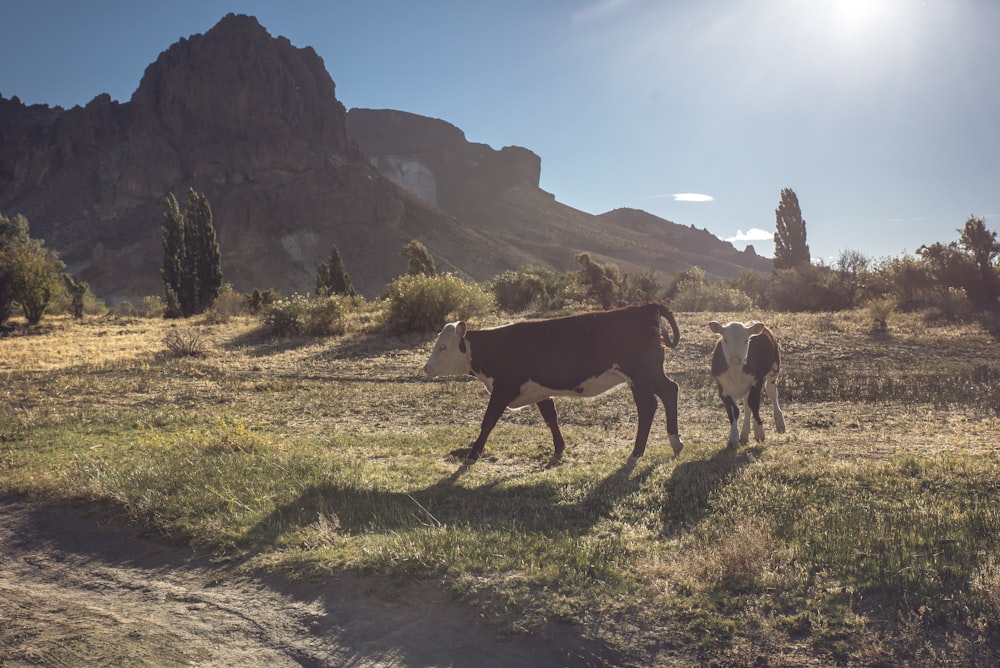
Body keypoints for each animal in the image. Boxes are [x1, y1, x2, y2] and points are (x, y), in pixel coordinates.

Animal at [708, 320, 784, 448]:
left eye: (746, 340)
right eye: (725, 339)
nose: (735, 359)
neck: (735, 372)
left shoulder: (756, 381)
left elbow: (754, 404)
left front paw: (759, 432)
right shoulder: (722, 388)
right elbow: (734, 411)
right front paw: (733, 438)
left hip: (774, 369)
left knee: (771, 392)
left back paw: (780, 423)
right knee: (747, 405)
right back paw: (744, 434)